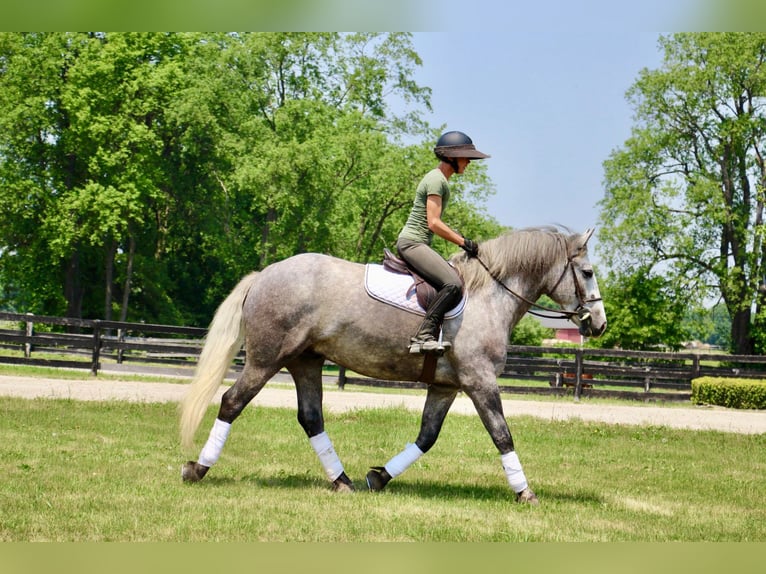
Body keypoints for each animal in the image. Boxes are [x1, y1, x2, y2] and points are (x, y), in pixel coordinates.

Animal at [178, 227, 608, 506]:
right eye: (587, 273)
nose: (599, 324)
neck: (490, 295)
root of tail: (263, 275)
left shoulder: (446, 387)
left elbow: (427, 436)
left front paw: (379, 477)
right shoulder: (480, 380)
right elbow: (502, 435)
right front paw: (525, 492)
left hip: (305, 362)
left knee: (311, 418)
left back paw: (343, 481)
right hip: (267, 359)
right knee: (232, 402)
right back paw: (197, 469)